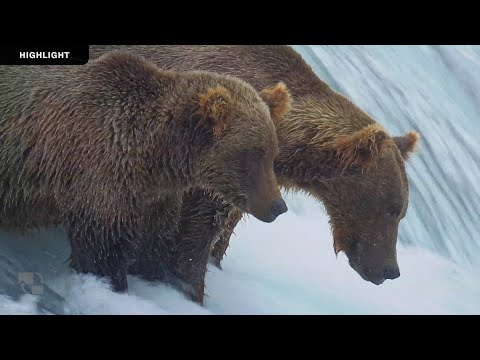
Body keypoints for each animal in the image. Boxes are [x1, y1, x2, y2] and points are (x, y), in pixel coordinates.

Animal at [0, 50, 288, 292]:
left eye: (273, 153)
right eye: (252, 155)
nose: (279, 206)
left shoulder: (156, 200)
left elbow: (154, 247)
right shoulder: (101, 177)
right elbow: (103, 251)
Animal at [90, 45, 420, 298]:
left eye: (401, 212)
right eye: (391, 209)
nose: (391, 270)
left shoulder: (249, 187)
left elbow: (218, 237)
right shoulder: (217, 164)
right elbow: (191, 240)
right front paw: (190, 287)